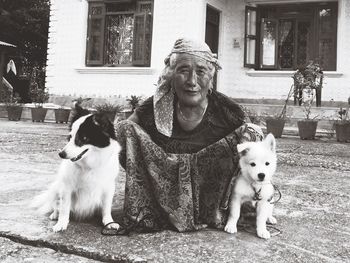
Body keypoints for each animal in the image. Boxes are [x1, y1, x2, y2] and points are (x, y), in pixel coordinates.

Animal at [31, 105, 121, 233]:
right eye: (70, 137)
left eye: (83, 138)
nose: (61, 154)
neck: (89, 166)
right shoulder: (66, 187)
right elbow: (64, 208)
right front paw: (61, 223)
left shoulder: (108, 187)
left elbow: (106, 207)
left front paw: (108, 222)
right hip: (57, 187)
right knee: (56, 205)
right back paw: (55, 214)